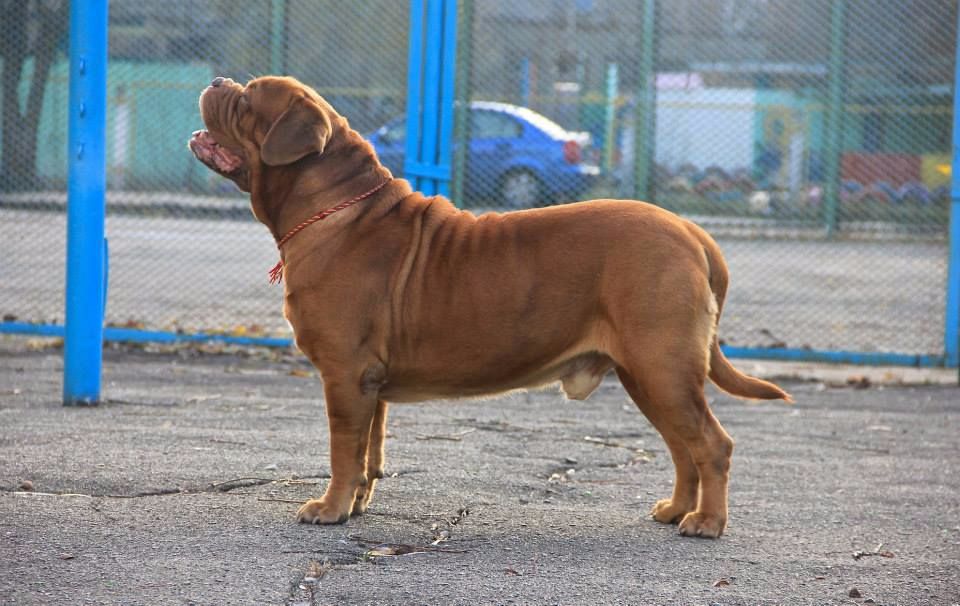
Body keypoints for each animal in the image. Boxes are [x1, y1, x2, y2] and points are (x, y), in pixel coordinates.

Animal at [188, 75, 788, 540]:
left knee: (712, 443)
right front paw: (355, 505)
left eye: (249, 98)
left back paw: (707, 523)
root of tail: (691, 232)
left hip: (662, 365)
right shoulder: (369, 384)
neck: (333, 207)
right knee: (682, 445)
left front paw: (329, 509)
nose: (217, 81)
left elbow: (343, 451)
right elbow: (368, 452)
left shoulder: (344, 374)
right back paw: (676, 510)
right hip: (648, 375)